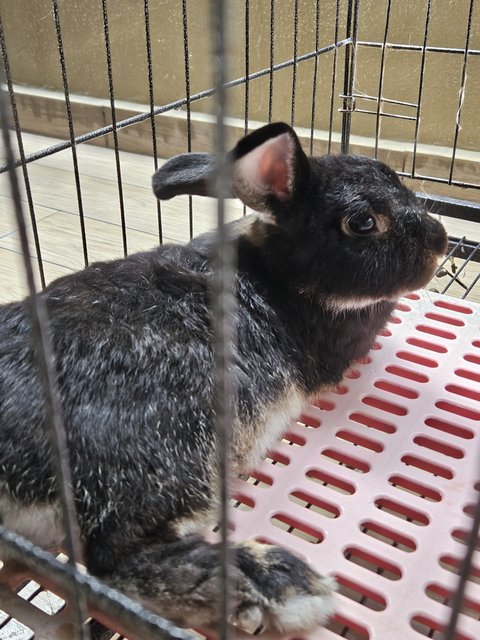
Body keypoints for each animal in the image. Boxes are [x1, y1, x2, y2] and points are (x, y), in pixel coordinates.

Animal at [0, 121, 446, 636]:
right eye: (363, 223)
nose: (440, 240)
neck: (275, 273)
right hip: (167, 455)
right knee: (115, 561)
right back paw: (277, 583)